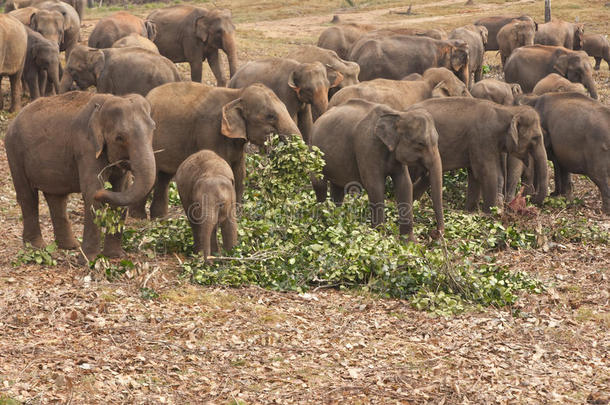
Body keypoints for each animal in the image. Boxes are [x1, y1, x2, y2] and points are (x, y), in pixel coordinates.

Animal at [5, 91, 157, 258]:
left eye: (154, 128)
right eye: (119, 138)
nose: (102, 192)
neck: (103, 106)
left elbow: (121, 191)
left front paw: (116, 256)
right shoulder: (86, 147)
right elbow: (91, 192)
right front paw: (89, 260)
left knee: (56, 197)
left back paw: (70, 246)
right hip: (14, 151)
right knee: (28, 195)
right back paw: (36, 247)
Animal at [129, 81, 300, 218]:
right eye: (270, 116)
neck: (236, 94)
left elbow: (239, 173)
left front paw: (237, 216)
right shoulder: (209, 131)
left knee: (164, 177)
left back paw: (160, 218)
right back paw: (139, 218)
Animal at [308, 98, 442, 240]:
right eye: (420, 143)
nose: (435, 233)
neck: (398, 114)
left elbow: (405, 185)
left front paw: (409, 242)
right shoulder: (367, 146)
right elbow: (375, 186)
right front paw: (378, 238)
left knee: (337, 189)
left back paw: (335, 221)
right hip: (314, 150)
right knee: (319, 183)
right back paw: (322, 220)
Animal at [406, 97, 548, 211]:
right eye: (535, 138)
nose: (532, 199)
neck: (507, 110)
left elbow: (474, 174)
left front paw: (470, 212)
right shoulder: (482, 138)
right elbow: (487, 172)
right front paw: (490, 213)